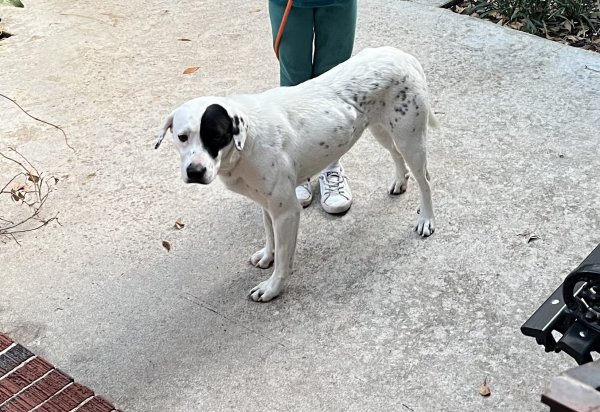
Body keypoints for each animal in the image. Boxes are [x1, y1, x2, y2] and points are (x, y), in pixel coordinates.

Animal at [156, 46, 436, 302]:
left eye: (216, 135)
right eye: (182, 137)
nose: (195, 171)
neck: (247, 142)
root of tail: (400, 54)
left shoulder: (287, 212)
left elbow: (283, 257)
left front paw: (271, 288)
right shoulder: (266, 203)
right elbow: (269, 235)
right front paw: (267, 256)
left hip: (411, 139)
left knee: (425, 180)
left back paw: (426, 219)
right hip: (382, 130)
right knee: (396, 155)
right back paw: (400, 181)